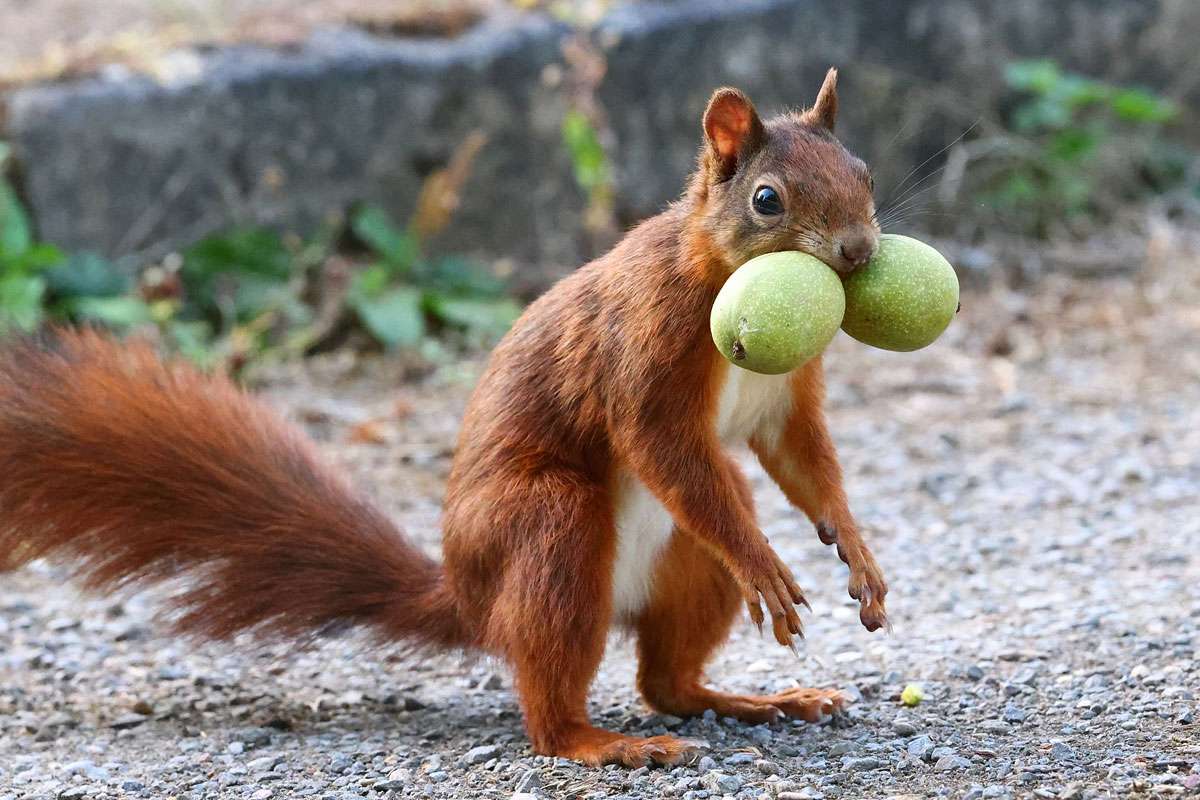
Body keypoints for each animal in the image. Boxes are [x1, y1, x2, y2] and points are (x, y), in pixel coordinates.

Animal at [2, 70, 892, 767]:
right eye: (767, 200)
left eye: (866, 173)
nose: (857, 251)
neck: (716, 273)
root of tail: (470, 599)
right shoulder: (644, 345)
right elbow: (661, 446)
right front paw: (765, 560)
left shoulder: (786, 395)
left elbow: (800, 456)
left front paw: (854, 549)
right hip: (546, 526)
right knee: (557, 692)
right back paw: (600, 741)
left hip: (684, 566)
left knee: (665, 678)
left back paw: (760, 701)